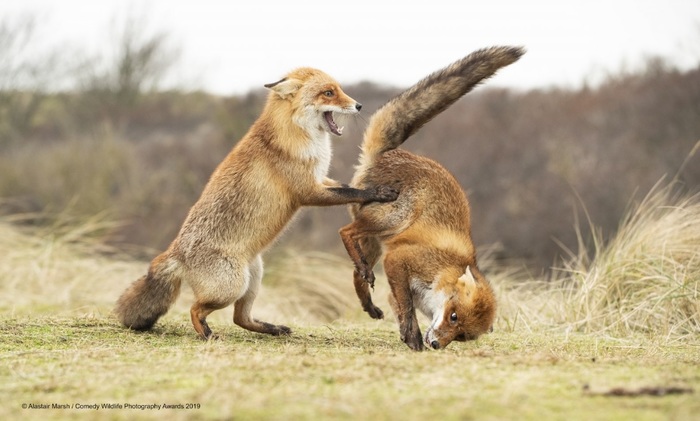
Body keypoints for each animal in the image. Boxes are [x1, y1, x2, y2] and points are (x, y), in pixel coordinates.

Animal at [117, 67, 396, 340]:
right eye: (328, 93)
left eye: (339, 89)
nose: (359, 105)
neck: (297, 135)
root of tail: (175, 252)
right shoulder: (308, 191)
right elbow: (352, 192)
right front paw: (379, 192)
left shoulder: (320, 179)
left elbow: (347, 187)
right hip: (231, 287)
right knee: (195, 309)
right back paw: (207, 334)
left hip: (254, 277)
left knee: (240, 318)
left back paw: (273, 329)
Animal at [340, 46, 524, 350]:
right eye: (453, 316)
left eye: (461, 336)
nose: (437, 345)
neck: (444, 270)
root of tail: (388, 154)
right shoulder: (399, 260)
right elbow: (406, 306)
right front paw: (414, 338)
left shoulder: (396, 280)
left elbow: (399, 307)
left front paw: (407, 335)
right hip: (392, 220)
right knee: (345, 232)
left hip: (375, 243)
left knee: (356, 271)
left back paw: (368, 302)